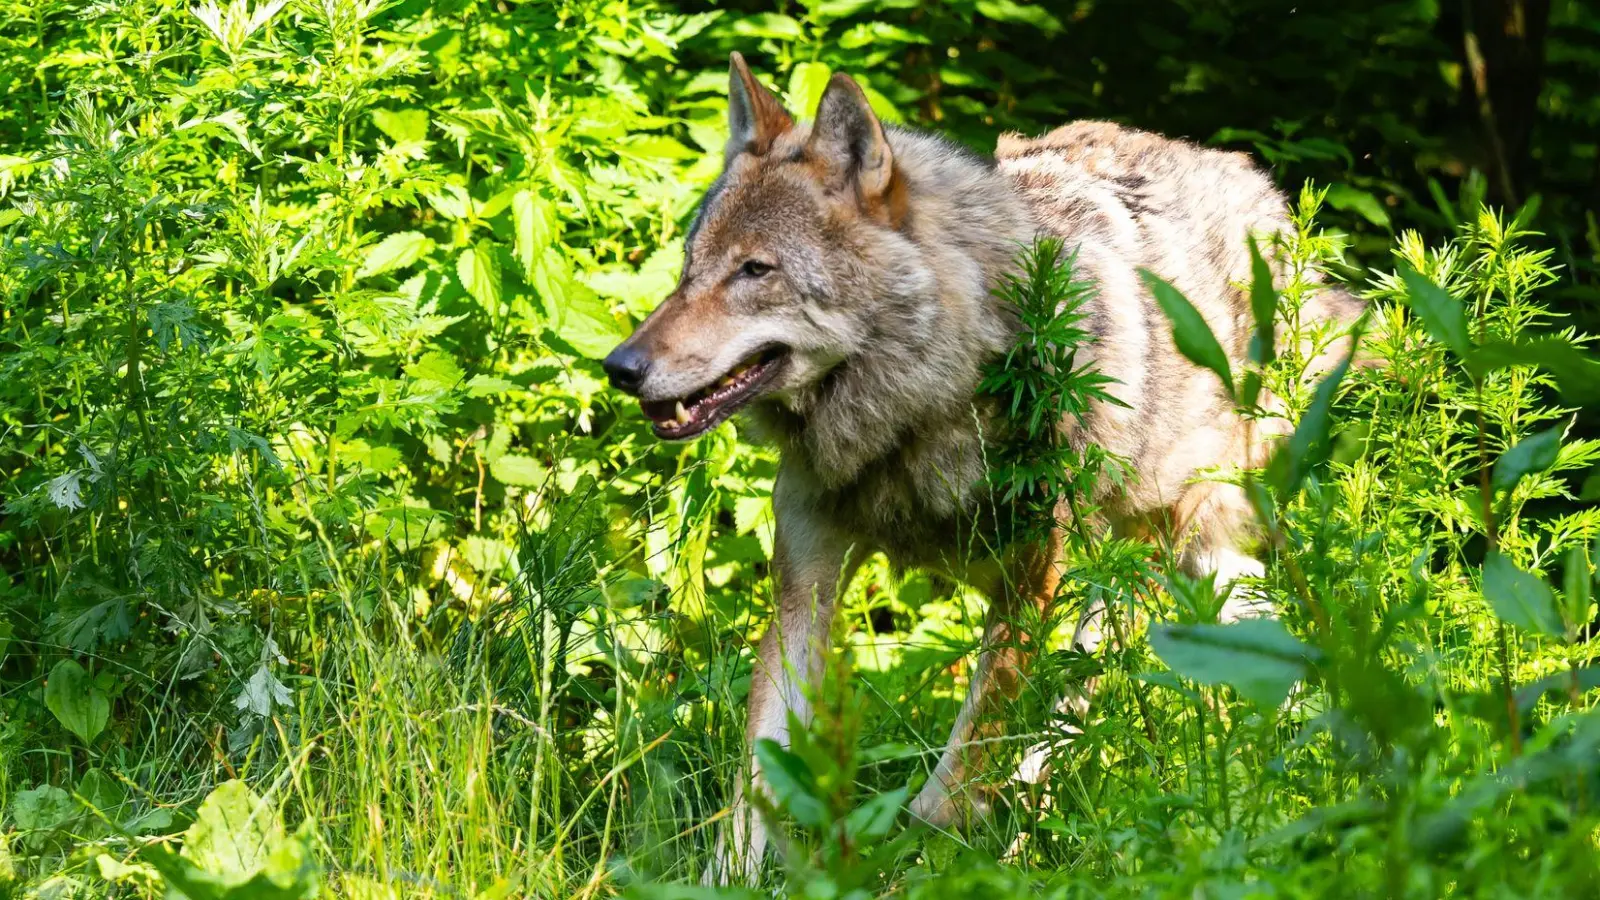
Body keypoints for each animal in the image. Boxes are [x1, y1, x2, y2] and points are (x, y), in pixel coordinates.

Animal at [601, 54, 1363, 877]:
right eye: (689, 268)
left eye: (754, 270)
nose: (620, 367)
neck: (917, 414)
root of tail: (1259, 187)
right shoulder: (805, 590)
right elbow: (754, 792)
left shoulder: (1031, 590)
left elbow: (947, 791)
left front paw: (920, 875)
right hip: (1165, 576)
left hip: (1155, 562)